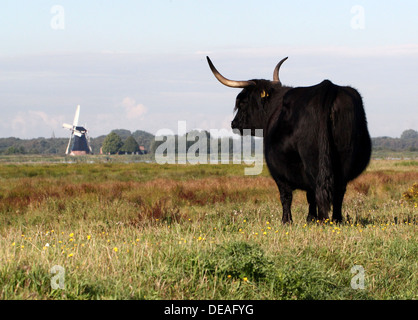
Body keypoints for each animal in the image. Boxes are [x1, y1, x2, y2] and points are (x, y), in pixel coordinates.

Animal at [207, 57, 370, 222]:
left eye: (242, 102)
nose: (234, 123)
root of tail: (327, 86)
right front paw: (310, 219)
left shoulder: (278, 170)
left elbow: (287, 196)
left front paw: (287, 221)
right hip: (345, 159)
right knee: (338, 193)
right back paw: (336, 219)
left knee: (319, 190)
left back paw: (323, 219)